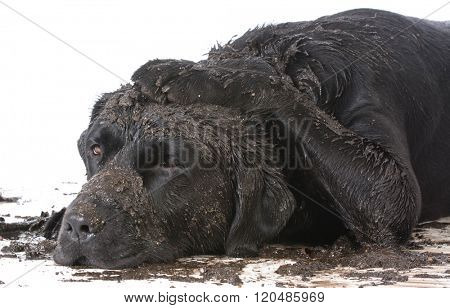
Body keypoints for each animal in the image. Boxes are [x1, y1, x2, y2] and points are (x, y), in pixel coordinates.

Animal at [46, 8, 450, 268]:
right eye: (96, 149)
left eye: (169, 163)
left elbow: (264, 83)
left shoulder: (390, 194)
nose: (77, 225)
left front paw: (191, 74)